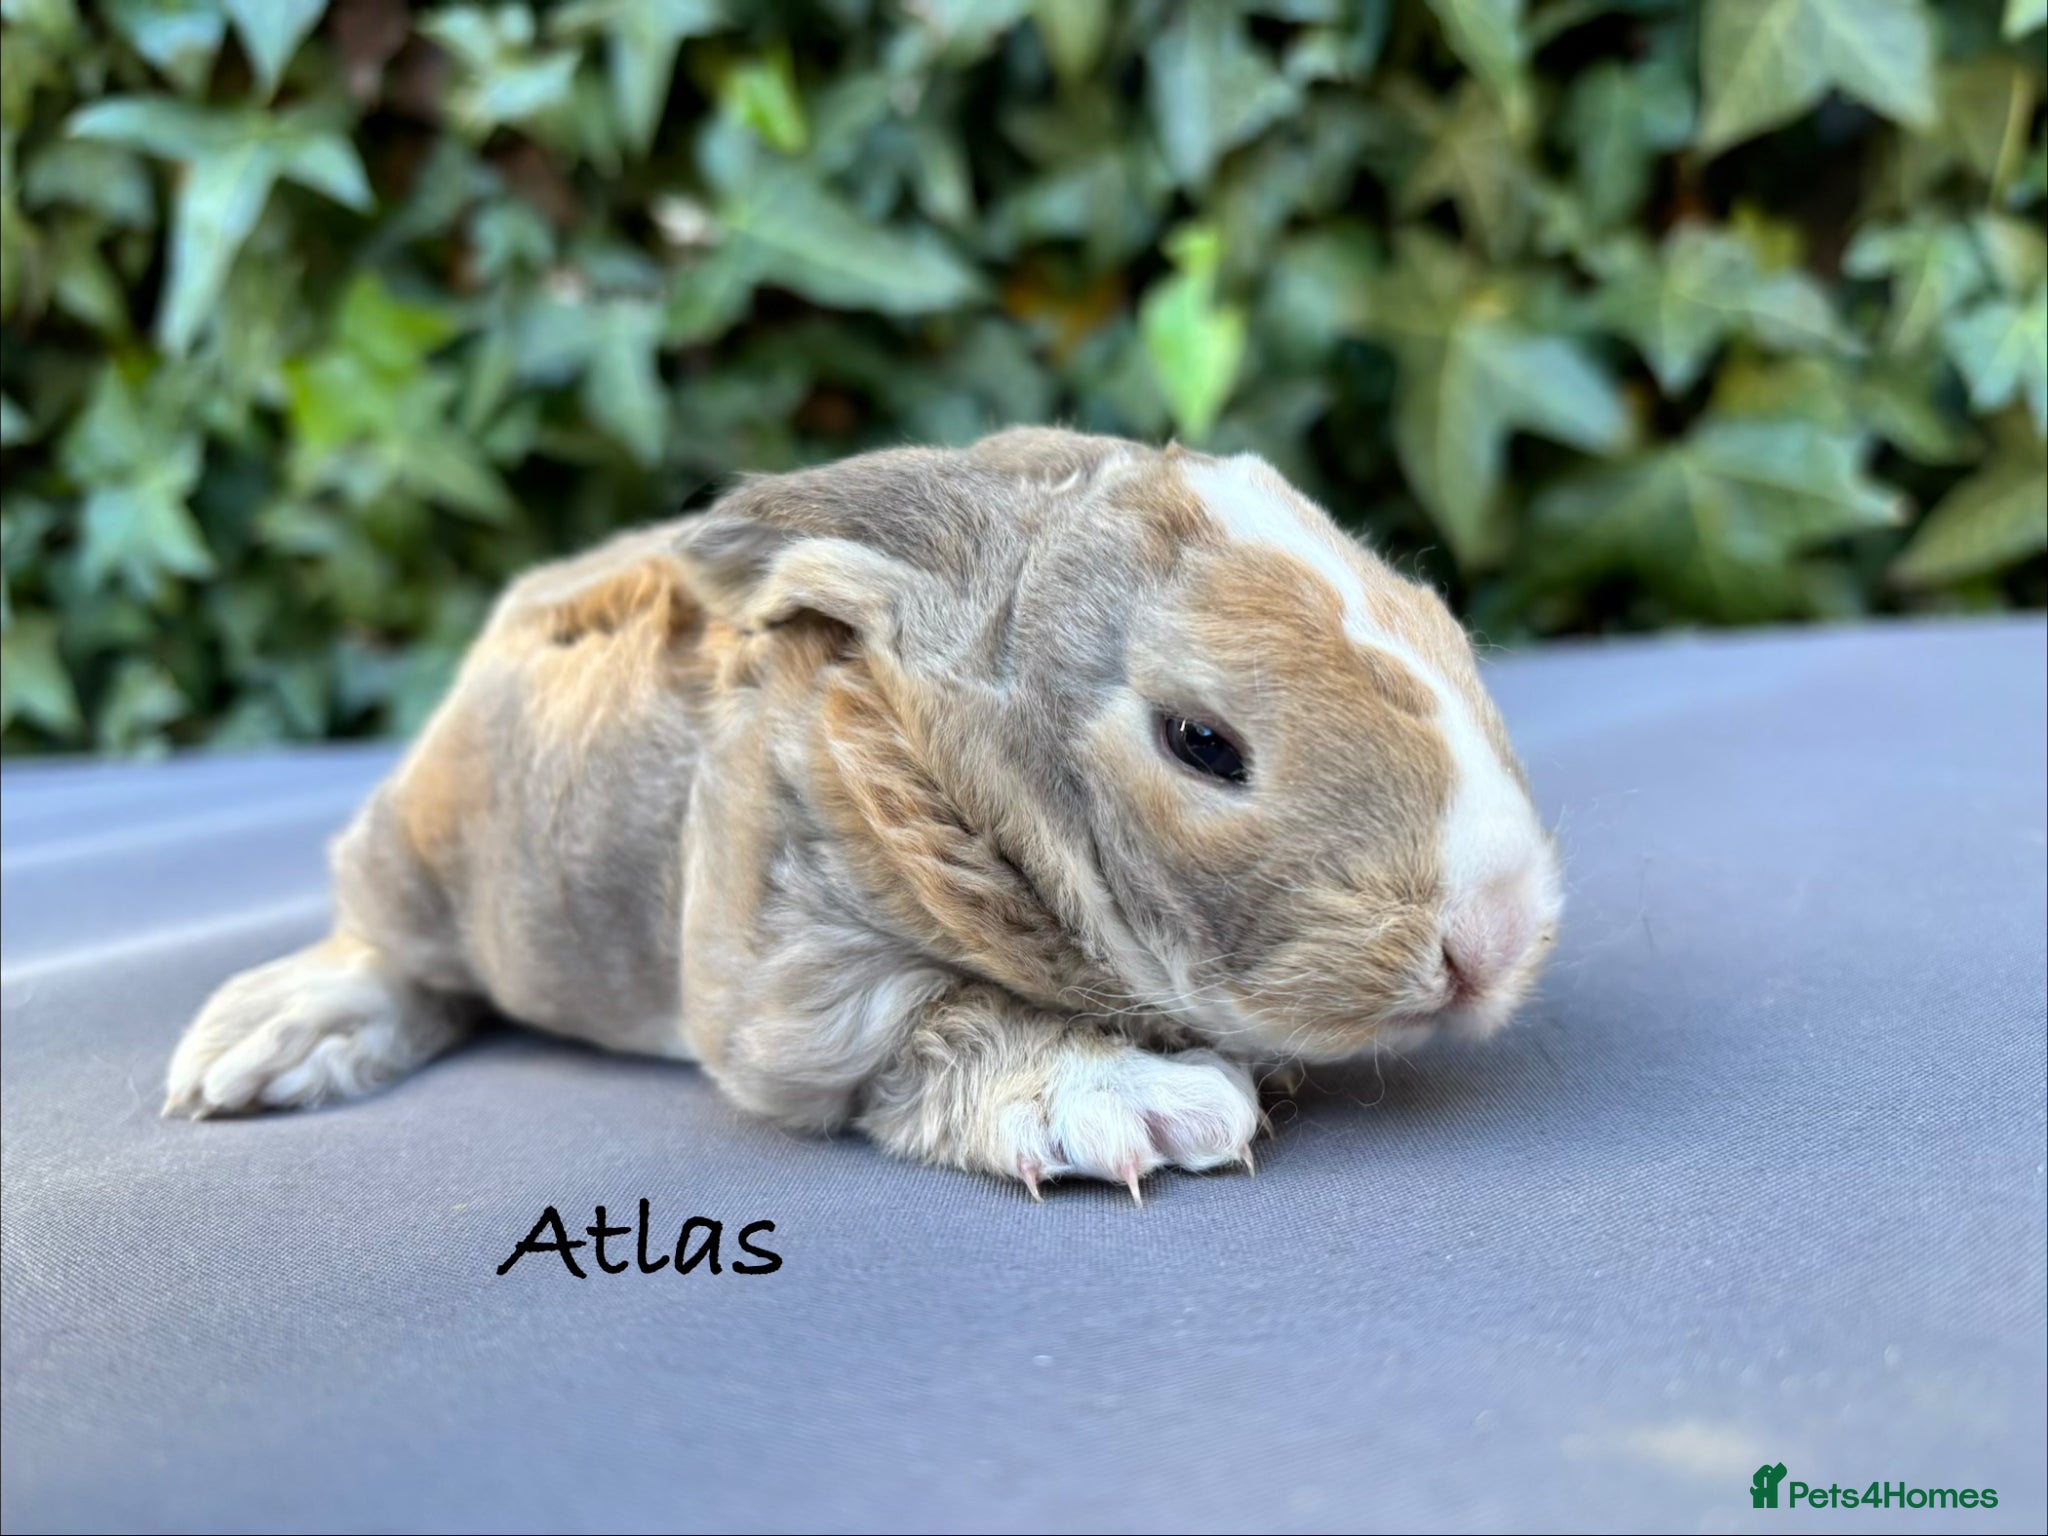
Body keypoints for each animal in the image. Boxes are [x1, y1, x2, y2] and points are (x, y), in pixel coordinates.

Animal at [164, 427, 1563, 1199]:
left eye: (1442, 628)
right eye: (1201, 743)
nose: (1491, 935)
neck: (956, 778)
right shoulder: (797, 980)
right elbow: (936, 1018)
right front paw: (1135, 1105)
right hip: (427, 877)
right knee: (387, 956)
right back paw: (261, 1049)